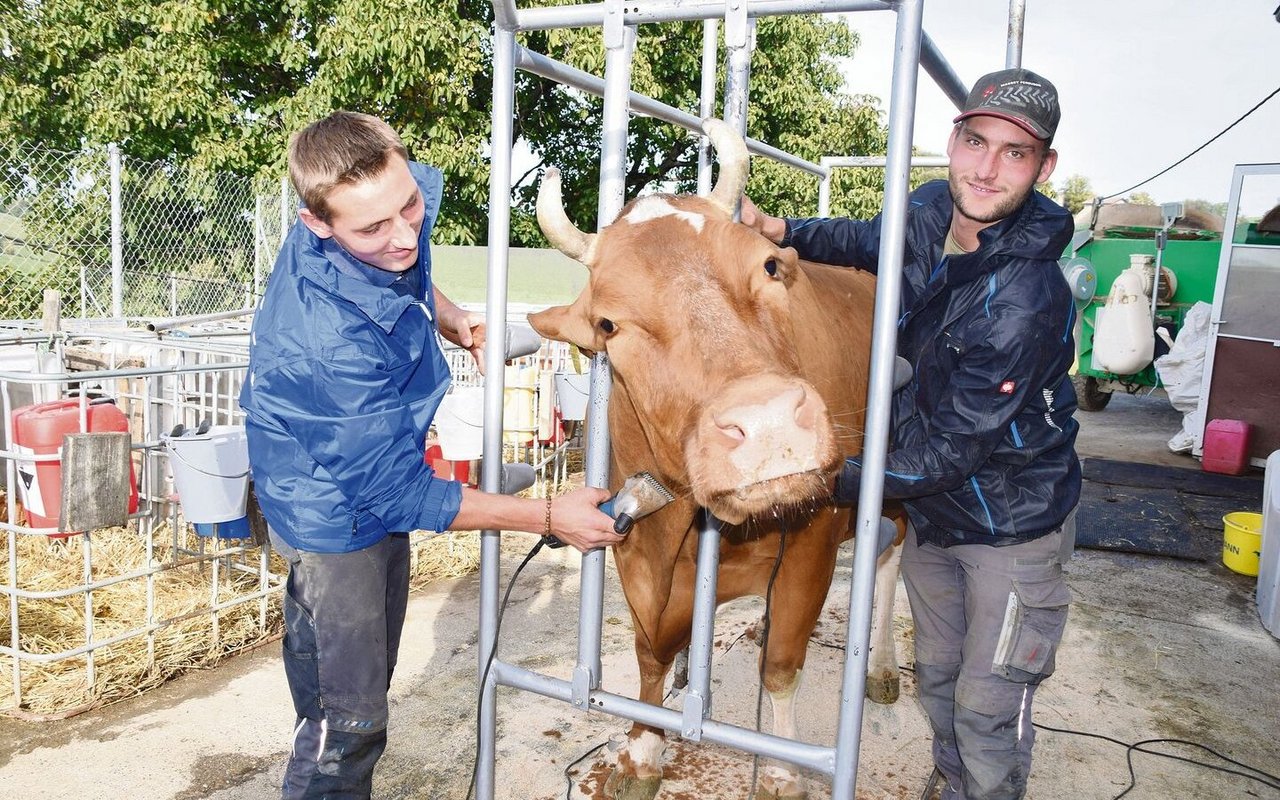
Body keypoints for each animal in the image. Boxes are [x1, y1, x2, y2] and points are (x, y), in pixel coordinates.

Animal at [524, 118, 906, 798]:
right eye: (608, 325)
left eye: (769, 265)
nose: (769, 421)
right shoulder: (635, 544)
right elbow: (650, 655)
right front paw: (642, 750)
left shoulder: (813, 536)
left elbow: (780, 664)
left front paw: (780, 768)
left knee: (891, 556)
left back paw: (882, 666)